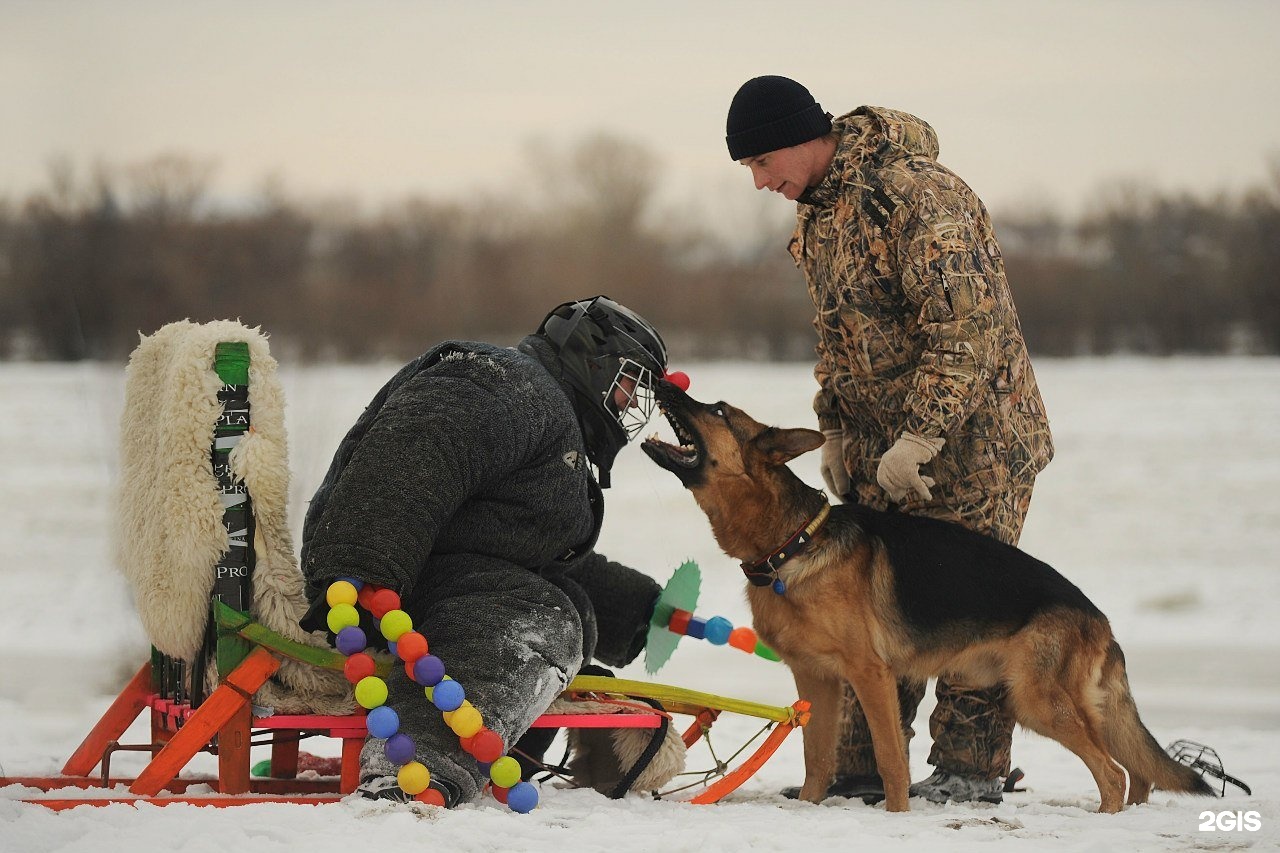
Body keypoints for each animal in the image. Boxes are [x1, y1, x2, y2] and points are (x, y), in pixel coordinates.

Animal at [645, 379, 1213, 809]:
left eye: (718, 410)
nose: (664, 380)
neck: (792, 542)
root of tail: (1099, 618)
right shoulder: (817, 681)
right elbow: (817, 760)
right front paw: (808, 809)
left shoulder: (870, 676)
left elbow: (891, 760)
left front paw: (895, 816)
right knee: (1137, 770)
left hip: (1037, 701)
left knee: (1114, 772)